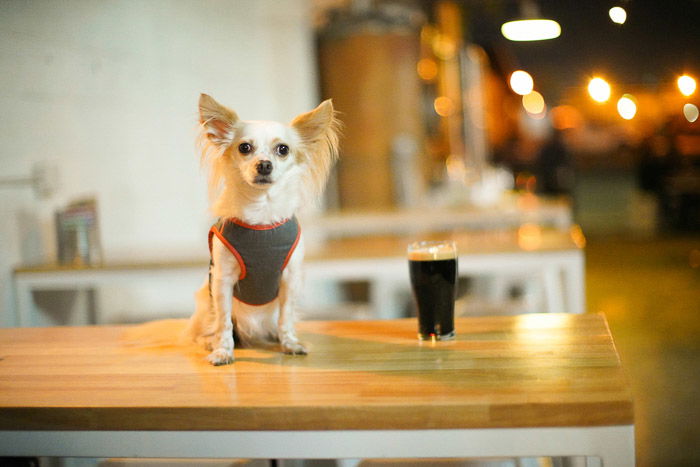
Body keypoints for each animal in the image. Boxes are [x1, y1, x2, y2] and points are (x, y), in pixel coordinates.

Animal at [186, 94, 340, 366]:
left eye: (283, 149)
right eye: (244, 148)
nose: (265, 165)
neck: (262, 216)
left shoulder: (289, 279)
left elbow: (285, 318)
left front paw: (290, 343)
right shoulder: (222, 281)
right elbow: (223, 323)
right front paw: (223, 351)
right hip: (205, 301)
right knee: (207, 327)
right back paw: (208, 341)